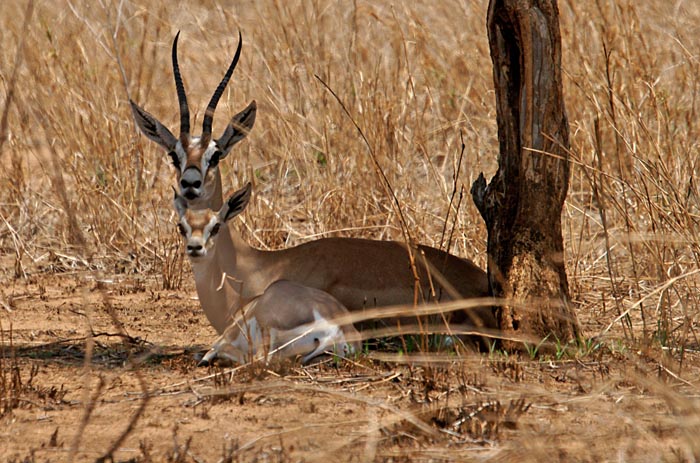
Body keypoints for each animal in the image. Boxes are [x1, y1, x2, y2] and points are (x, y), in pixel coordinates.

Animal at [174, 184, 361, 366]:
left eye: (216, 226)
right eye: (181, 226)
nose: (195, 247)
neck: (237, 304)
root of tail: (339, 330)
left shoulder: (226, 337)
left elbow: (213, 349)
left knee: (256, 359)